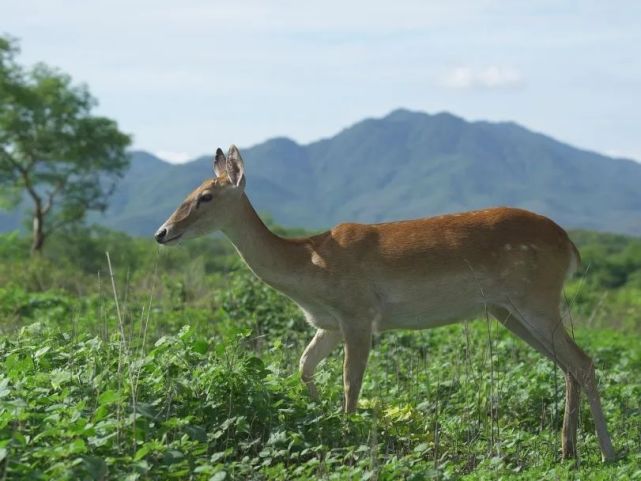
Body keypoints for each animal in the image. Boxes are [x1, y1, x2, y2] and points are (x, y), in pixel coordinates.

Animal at [154, 143, 616, 462]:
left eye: (206, 196)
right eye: (191, 190)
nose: (162, 232)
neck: (308, 267)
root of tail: (571, 248)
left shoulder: (359, 314)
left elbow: (351, 384)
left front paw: (345, 437)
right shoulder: (328, 323)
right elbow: (303, 367)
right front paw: (319, 421)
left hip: (537, 298)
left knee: (583, 362)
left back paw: (606, 451)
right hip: (509, 311)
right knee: (569, 365)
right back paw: (568, 450)